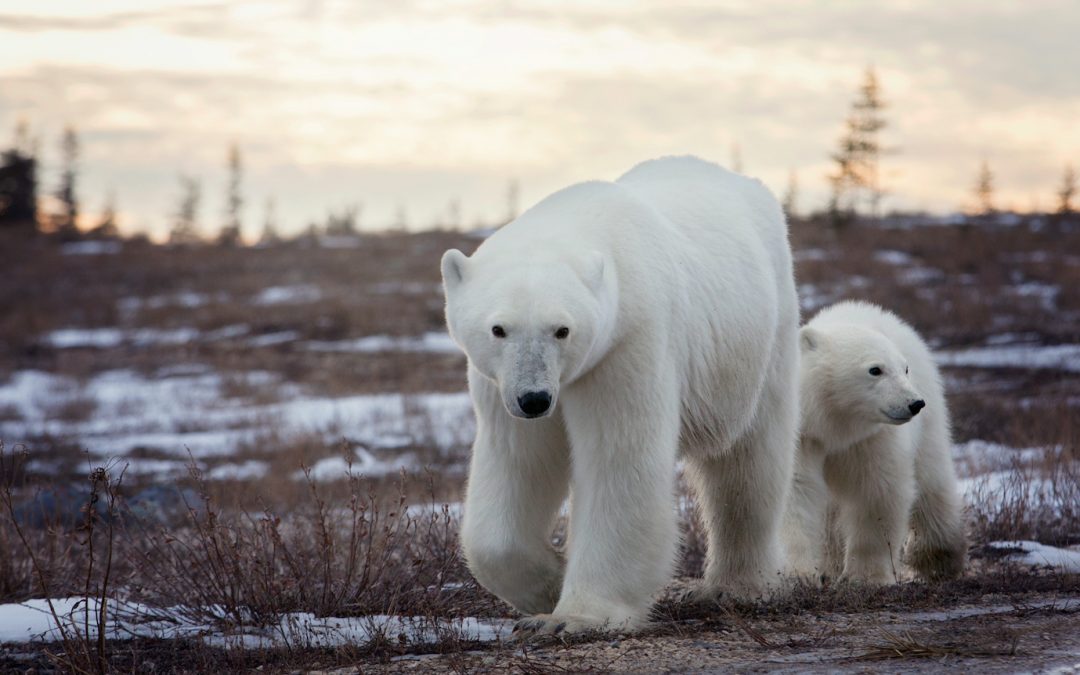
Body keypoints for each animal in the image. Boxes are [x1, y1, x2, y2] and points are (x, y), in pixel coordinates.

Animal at [440, 156, 800, 637]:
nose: (534, 399)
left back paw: (735, 587)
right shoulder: (499, 385)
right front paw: (548, 586)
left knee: (749, 461)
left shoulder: (626, 344)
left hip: (762, 340)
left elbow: (618, 460)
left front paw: (573, 617)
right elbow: (519, 461)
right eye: (499, 329)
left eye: (562, 329)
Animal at [783, 300, 966, 584]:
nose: (914, 403)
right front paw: (798, 575)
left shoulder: (873, 438)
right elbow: (796, 490)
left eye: (904, 369)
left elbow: (877, 491)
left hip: (931, 417)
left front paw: (866, 576)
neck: (833, 424)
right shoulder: (803, 436)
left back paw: (938, 557)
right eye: (875, 369)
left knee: (931, 480)